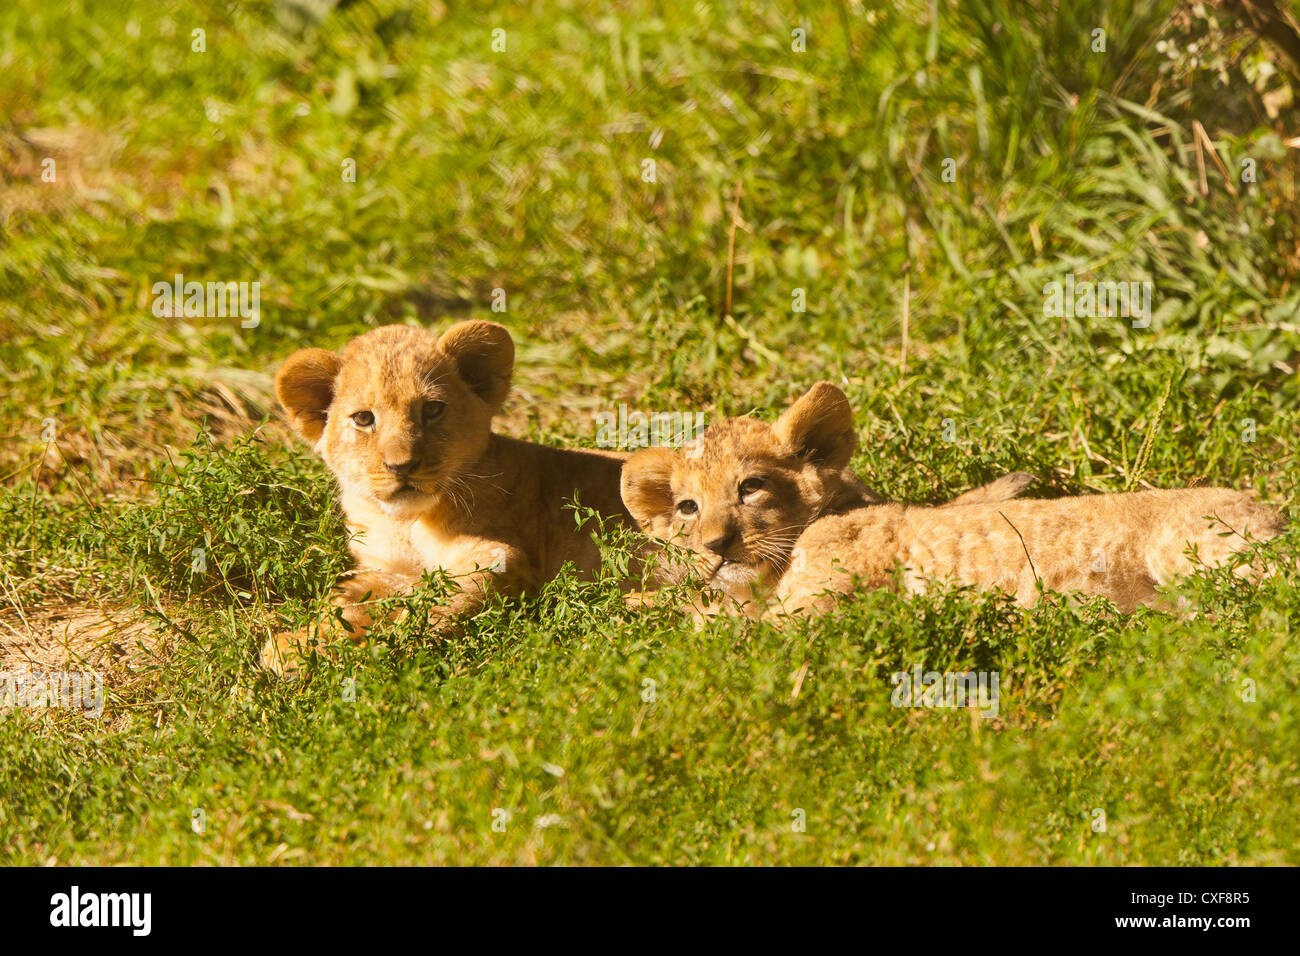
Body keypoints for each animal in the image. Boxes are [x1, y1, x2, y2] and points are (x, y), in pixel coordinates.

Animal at [620, 381, 1287, 617]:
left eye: (750, 486)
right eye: (687, 507)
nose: (714, 545)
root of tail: (1278, 516)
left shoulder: (819, 608)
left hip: (1191, 549)